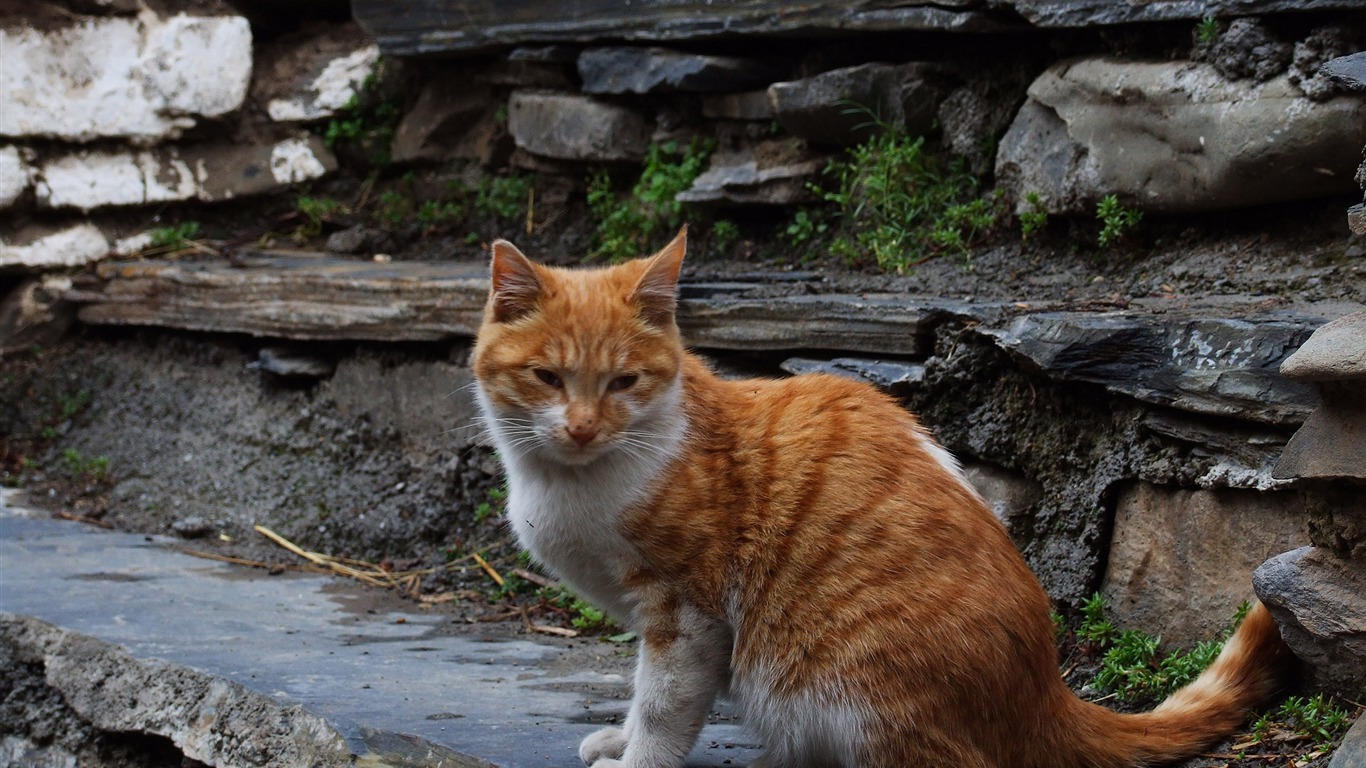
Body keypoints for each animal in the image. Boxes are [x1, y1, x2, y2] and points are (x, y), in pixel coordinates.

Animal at [475, 228, 1294, 765]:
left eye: (624, 382)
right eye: (548, 378)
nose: (582, 427)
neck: (569, 482)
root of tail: (1046, 689)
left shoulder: (686, 614)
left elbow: (663, 704)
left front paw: (636, 757)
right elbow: (640, 692)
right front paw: (618, 736)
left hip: (850, 691)